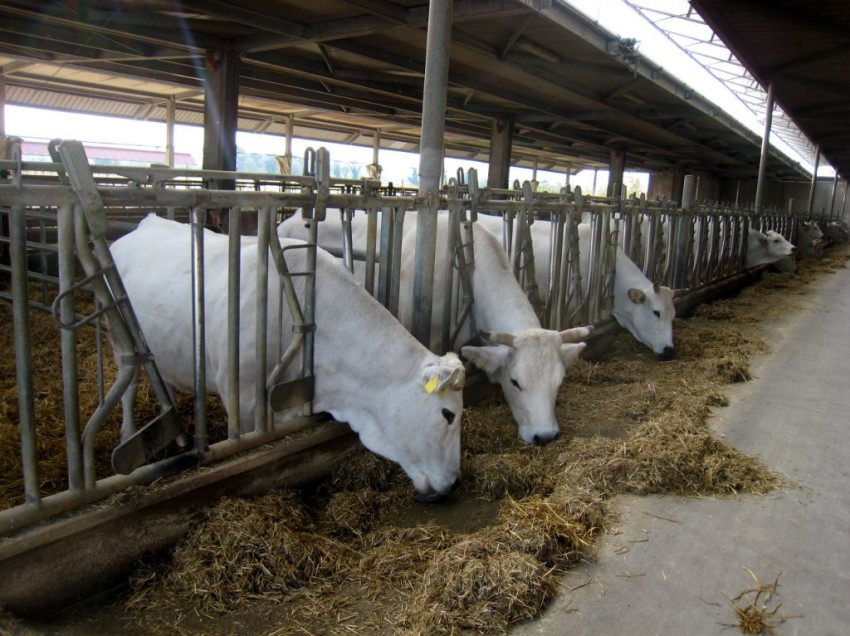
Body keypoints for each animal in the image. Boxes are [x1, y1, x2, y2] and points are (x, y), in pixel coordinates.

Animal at [110, 215, 468, 502]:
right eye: (448, 414)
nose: (455, 482)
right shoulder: (243, 401)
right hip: (120, 339)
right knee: (128, 388)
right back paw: (128, 436)